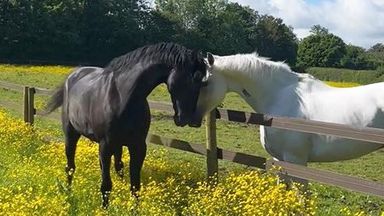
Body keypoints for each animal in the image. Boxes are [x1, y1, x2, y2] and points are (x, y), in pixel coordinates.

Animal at [45, 42, 207, 208]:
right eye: (189, 79)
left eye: (201, 82)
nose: (188, 119)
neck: (123, 97)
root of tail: (73, 76)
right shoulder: (105, 146)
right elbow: (106, 185)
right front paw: (104, 209)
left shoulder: (138, 146)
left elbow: (135, 186)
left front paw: (133, 209)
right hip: (71, 135)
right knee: (70, 167)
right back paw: (68, 193)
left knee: (118, 166)